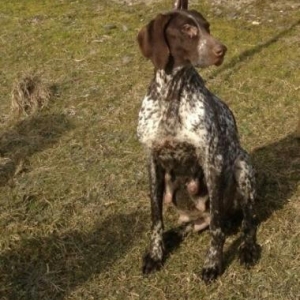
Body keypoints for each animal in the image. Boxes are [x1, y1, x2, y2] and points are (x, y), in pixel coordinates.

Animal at [137, 7, 260, 284]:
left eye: (207, 27)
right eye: (187, 29)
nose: (221, 50)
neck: (172, 96)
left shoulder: (211, 160)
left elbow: (217, 229)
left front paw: (213, 263)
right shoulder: (152, 161)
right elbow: (155, 219)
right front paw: (156, 253)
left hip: (242, 167)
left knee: (246, 223)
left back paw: (247, 248)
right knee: (192, 225)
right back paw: (173, 236)